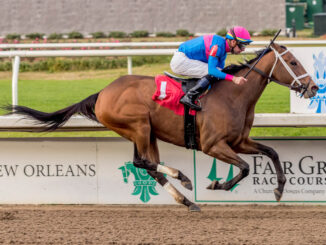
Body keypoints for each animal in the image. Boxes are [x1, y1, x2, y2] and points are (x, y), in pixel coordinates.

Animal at [5, 43, 318, 211]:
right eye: (292, 62)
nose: (313, 87)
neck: (234, 94)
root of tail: (102, 92)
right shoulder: (213, 145)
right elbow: (243, 168)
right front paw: (217, 184)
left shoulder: (239, 141)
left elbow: (272, 152)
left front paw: (279, 190)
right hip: (139, 126)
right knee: (142, 162)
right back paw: (184, 178)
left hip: (145, 132)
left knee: (148, 165)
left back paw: (187, 200)